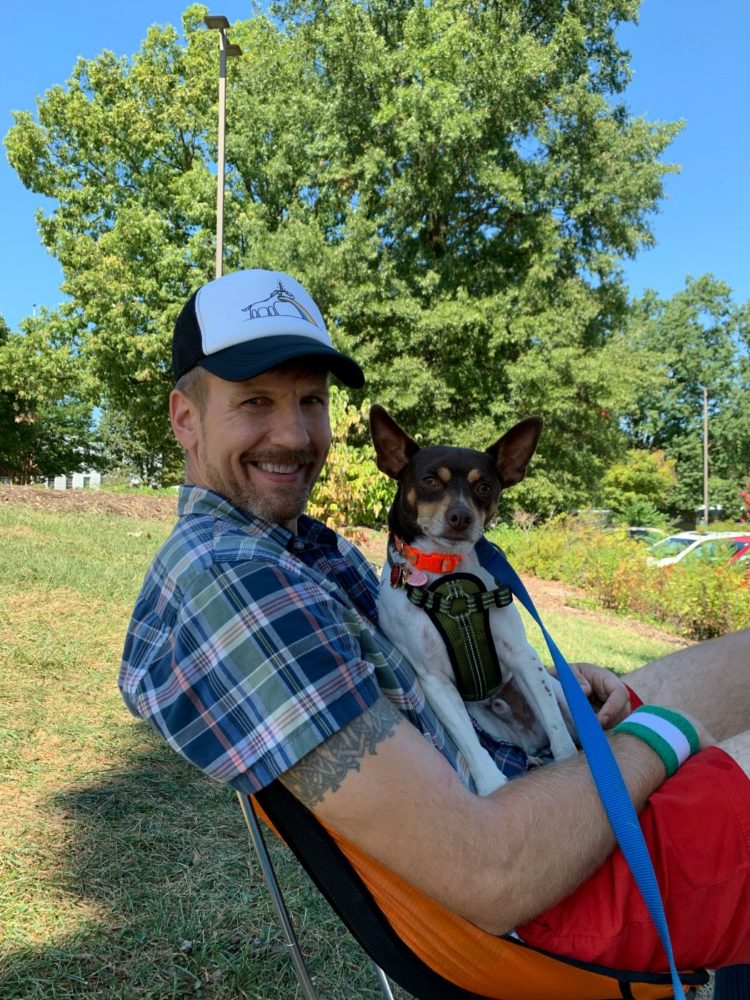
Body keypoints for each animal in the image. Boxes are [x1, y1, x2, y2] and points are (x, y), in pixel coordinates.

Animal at [372, 402, 580, 792]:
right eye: (430, 480)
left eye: (484, 486)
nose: (461, 516)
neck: (448, 574)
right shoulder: (433, 678)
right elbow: (468, 740)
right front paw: (491, 783)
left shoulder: (524, 657)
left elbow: (558, 731)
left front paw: (568, 761)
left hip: (557, 688)